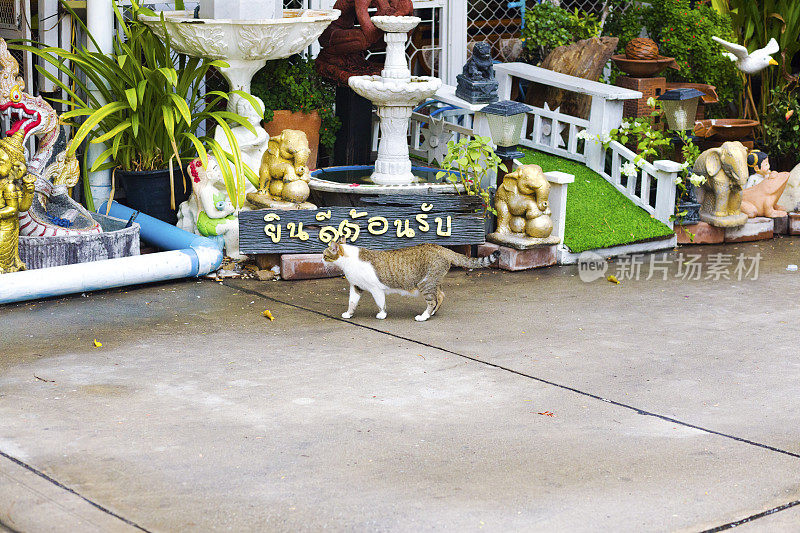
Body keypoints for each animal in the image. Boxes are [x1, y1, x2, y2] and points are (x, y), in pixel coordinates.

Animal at [322, 240, 496, 320]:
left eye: (324, 255)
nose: (321, 260)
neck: (349, 261)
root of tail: (441, 248)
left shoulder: (376, 289)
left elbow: (381, 304)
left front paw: (382, 315)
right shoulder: (356, 287)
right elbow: (352, 302)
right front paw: (349, 314)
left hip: (425, 283)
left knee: (433, 300)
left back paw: (424, 316)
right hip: (433, 282)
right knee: (440, 296)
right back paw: (432, 313)